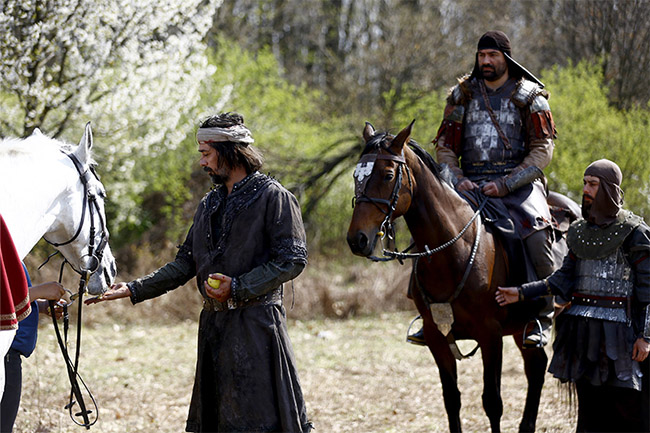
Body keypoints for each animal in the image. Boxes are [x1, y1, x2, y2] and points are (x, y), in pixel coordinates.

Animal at [347, 121, 577, 432]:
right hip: (520, 329)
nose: (357, 239)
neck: (452, 249)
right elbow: (451, 399)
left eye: (388, 174)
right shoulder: (436, 337)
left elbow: (492, 402)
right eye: (356, 176)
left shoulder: (491, 335)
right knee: (536, 366)